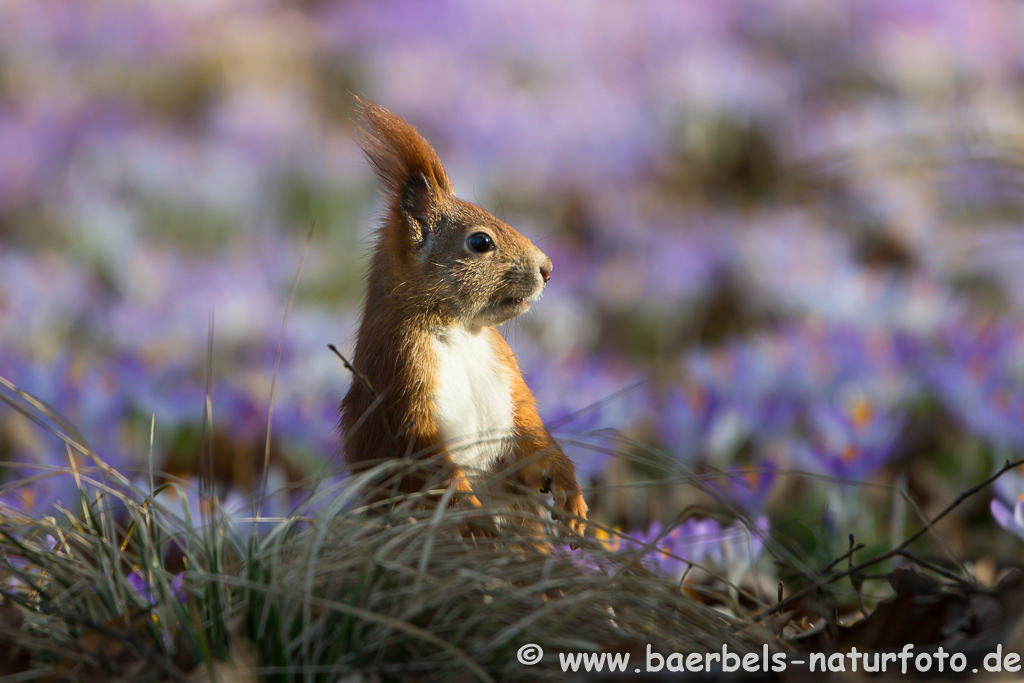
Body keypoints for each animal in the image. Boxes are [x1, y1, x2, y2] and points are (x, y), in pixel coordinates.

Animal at [342, 100, 589, 540]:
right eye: (480, 242)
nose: (547, 268)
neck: (459, 333)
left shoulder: (507, 379)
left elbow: (532, 437)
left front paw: (571, 496)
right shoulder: (399, 378)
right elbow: (426, 462)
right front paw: (473, 515)